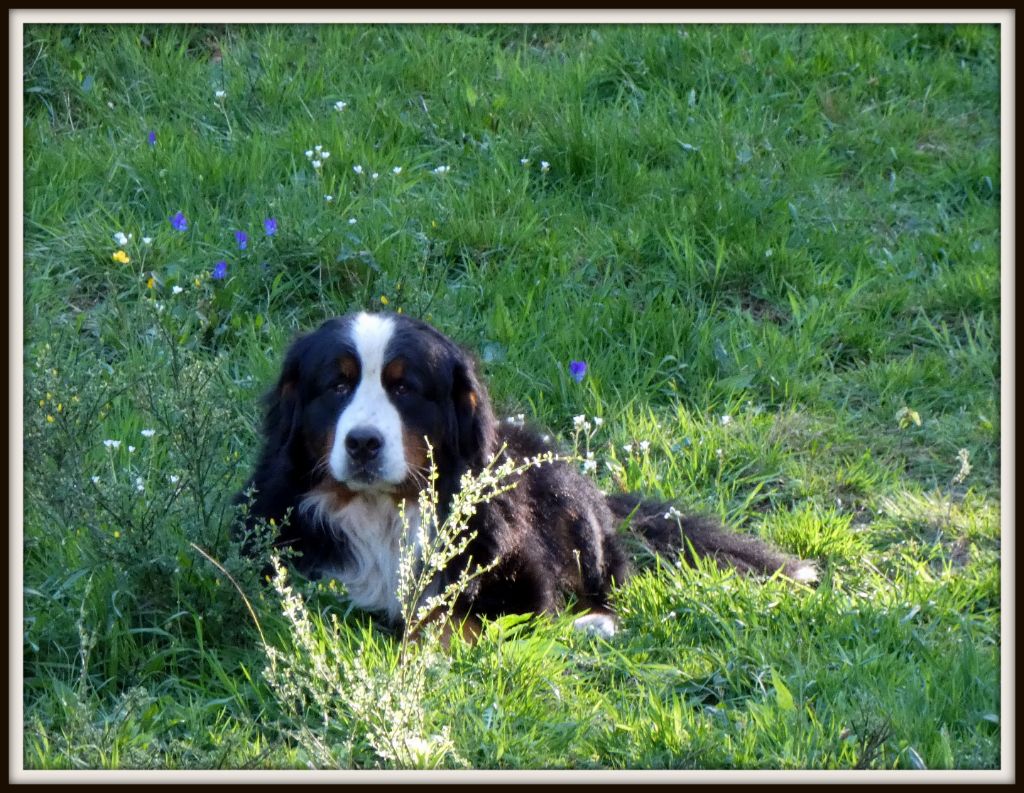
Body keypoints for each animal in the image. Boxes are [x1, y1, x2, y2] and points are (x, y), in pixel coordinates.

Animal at [237, 311, 816, 641]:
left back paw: (595, 622)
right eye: (337, 385)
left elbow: (456, 619)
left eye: (405, 388)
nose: (362, 443)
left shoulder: (520, 578)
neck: (385, 509)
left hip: (568, 499)